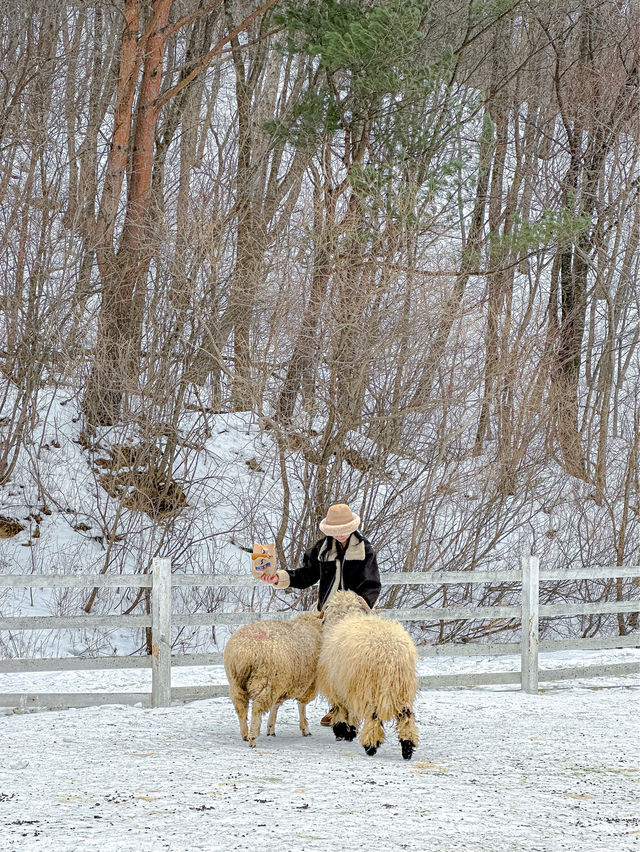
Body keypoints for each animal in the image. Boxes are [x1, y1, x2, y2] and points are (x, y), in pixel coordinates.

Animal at [225, 612, 324, 744]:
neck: (310, 624)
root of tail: (246, 652)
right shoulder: (308, 683)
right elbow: (301, 705)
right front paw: (305, 728)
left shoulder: (282, 682)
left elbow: (275, 705)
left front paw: (270, 727)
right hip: (265, 680)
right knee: (257, 708)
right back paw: (253, 737)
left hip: (236, 682)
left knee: (240, 707)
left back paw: (245, 734)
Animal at [316, 592, 420, 760]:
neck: (344, 617)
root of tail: (391, 653)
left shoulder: (338, 687)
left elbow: (342, 709)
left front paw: (343, 731)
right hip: (402, 688)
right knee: (406, 715)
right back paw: (407, 747)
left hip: (371, 688)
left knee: (373, 715)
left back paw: (371, 745)